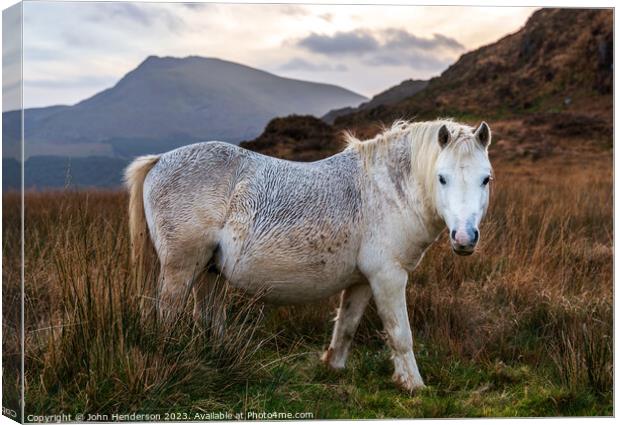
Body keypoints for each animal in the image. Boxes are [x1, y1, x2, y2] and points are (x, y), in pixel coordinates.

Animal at [124, 119, 494, 390]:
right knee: (167, 315)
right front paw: (414, 386)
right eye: (441, 178)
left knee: (207, 318)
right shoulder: (388, 276)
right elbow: (400, 334)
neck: (386, 190)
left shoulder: (363, 281)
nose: (464, 238)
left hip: (209, 272)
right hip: (181, 269)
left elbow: (346, 326)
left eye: (486, 179)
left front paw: (334, 367)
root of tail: (159, 160)